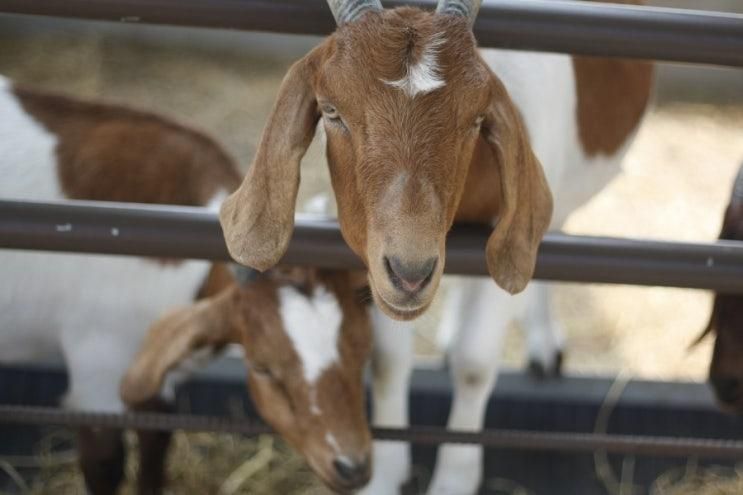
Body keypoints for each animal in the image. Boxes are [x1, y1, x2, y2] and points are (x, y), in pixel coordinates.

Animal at [218, 1, 652, 494]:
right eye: (331, 111)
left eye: (476, 120)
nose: (411, 273)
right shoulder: (373, 264)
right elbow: (389, 359)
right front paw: (386, 475)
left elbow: (475, 362)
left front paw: (453, 481)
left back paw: (543, 346)